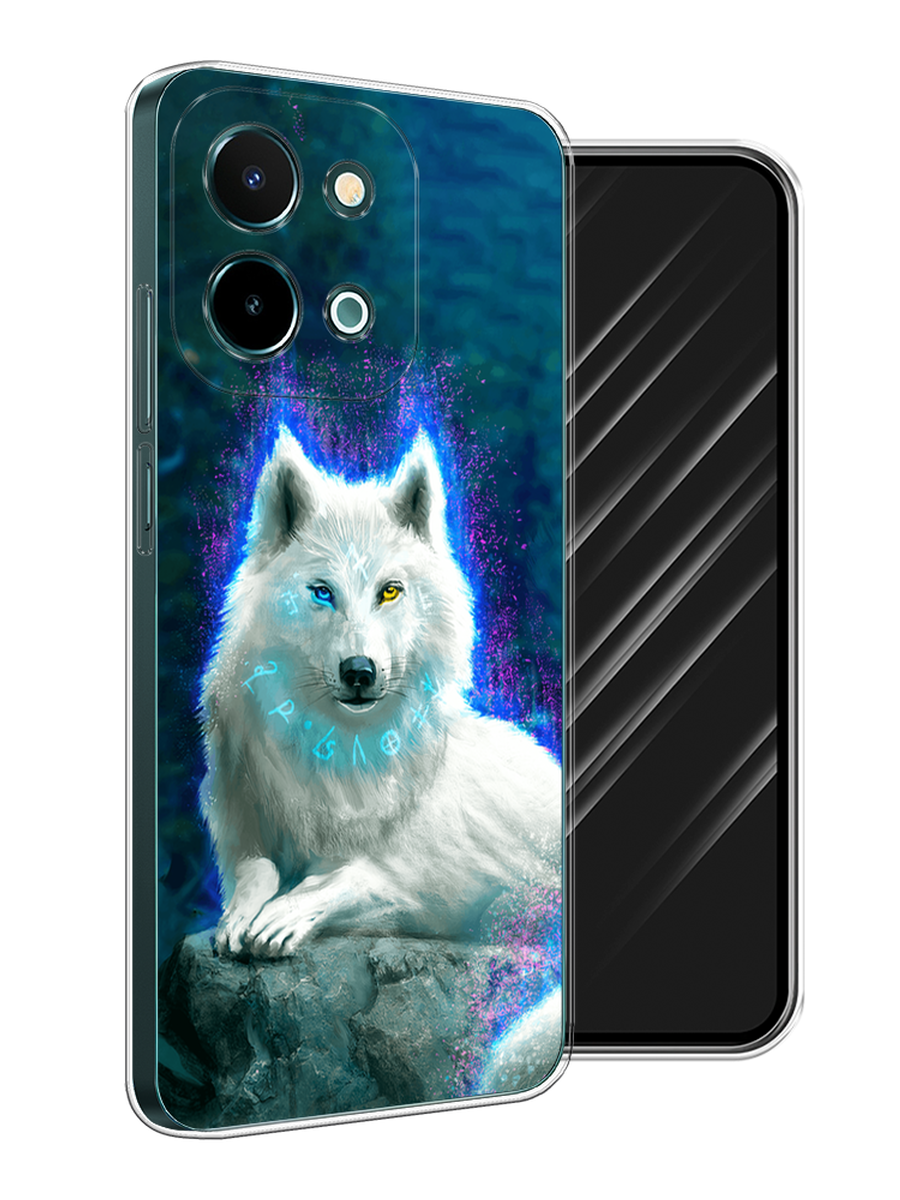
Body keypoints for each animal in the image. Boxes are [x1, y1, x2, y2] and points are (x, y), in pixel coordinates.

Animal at [200, 428, 561, 958]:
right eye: (322, 592)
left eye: (389, 591)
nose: (359, 672)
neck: (344, 751)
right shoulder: (242, 822)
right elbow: (254, 870)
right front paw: (240, 915)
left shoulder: (453, 883)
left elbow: (358, 876)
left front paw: (286, 913)